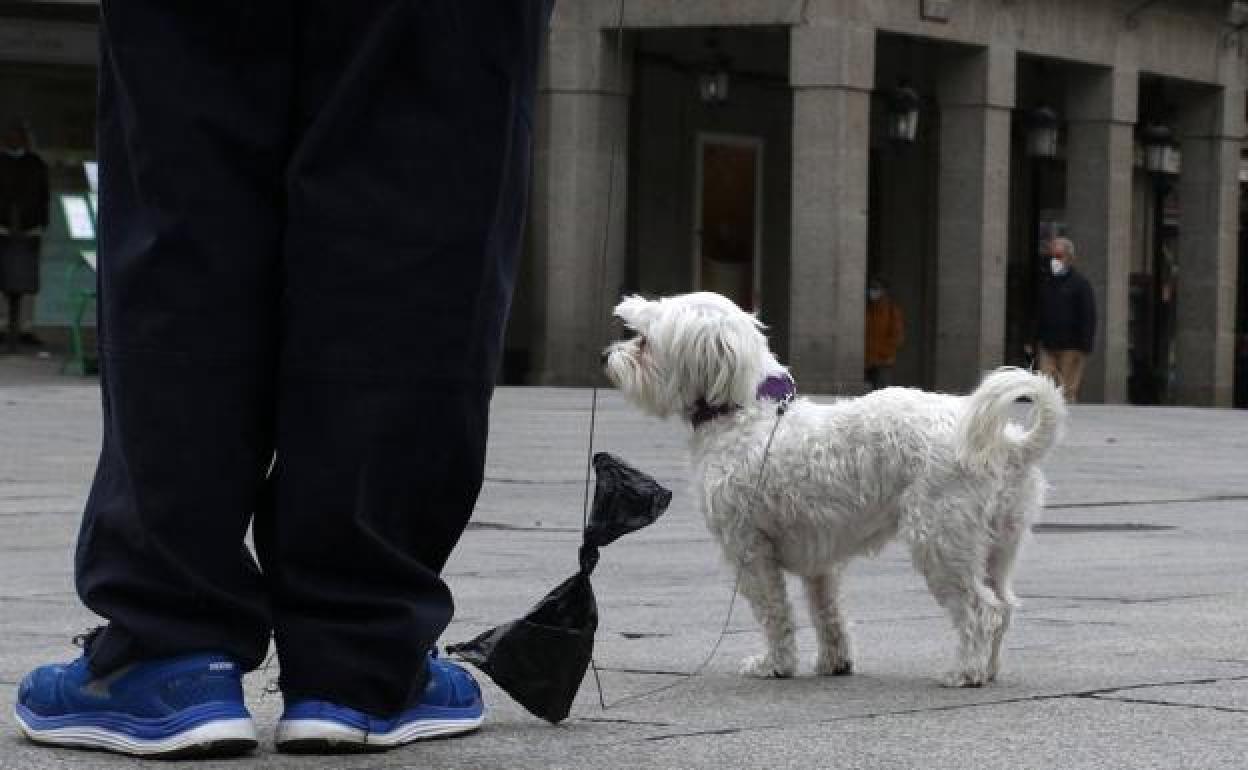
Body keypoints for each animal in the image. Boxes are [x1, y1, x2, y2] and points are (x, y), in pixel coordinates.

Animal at [604, 293, 1063, 683]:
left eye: (643, 341)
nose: (608, 356)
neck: (746, 413)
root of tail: (1009, 445)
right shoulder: (819, 559)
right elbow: (827, 614)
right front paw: (835, 662)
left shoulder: (749, 549)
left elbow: (774, 612)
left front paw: (775, 664)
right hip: (999, 545)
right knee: (1003, 606)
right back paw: (988, 669)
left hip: (940, 539)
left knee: (981, 610)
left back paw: (965, 671)